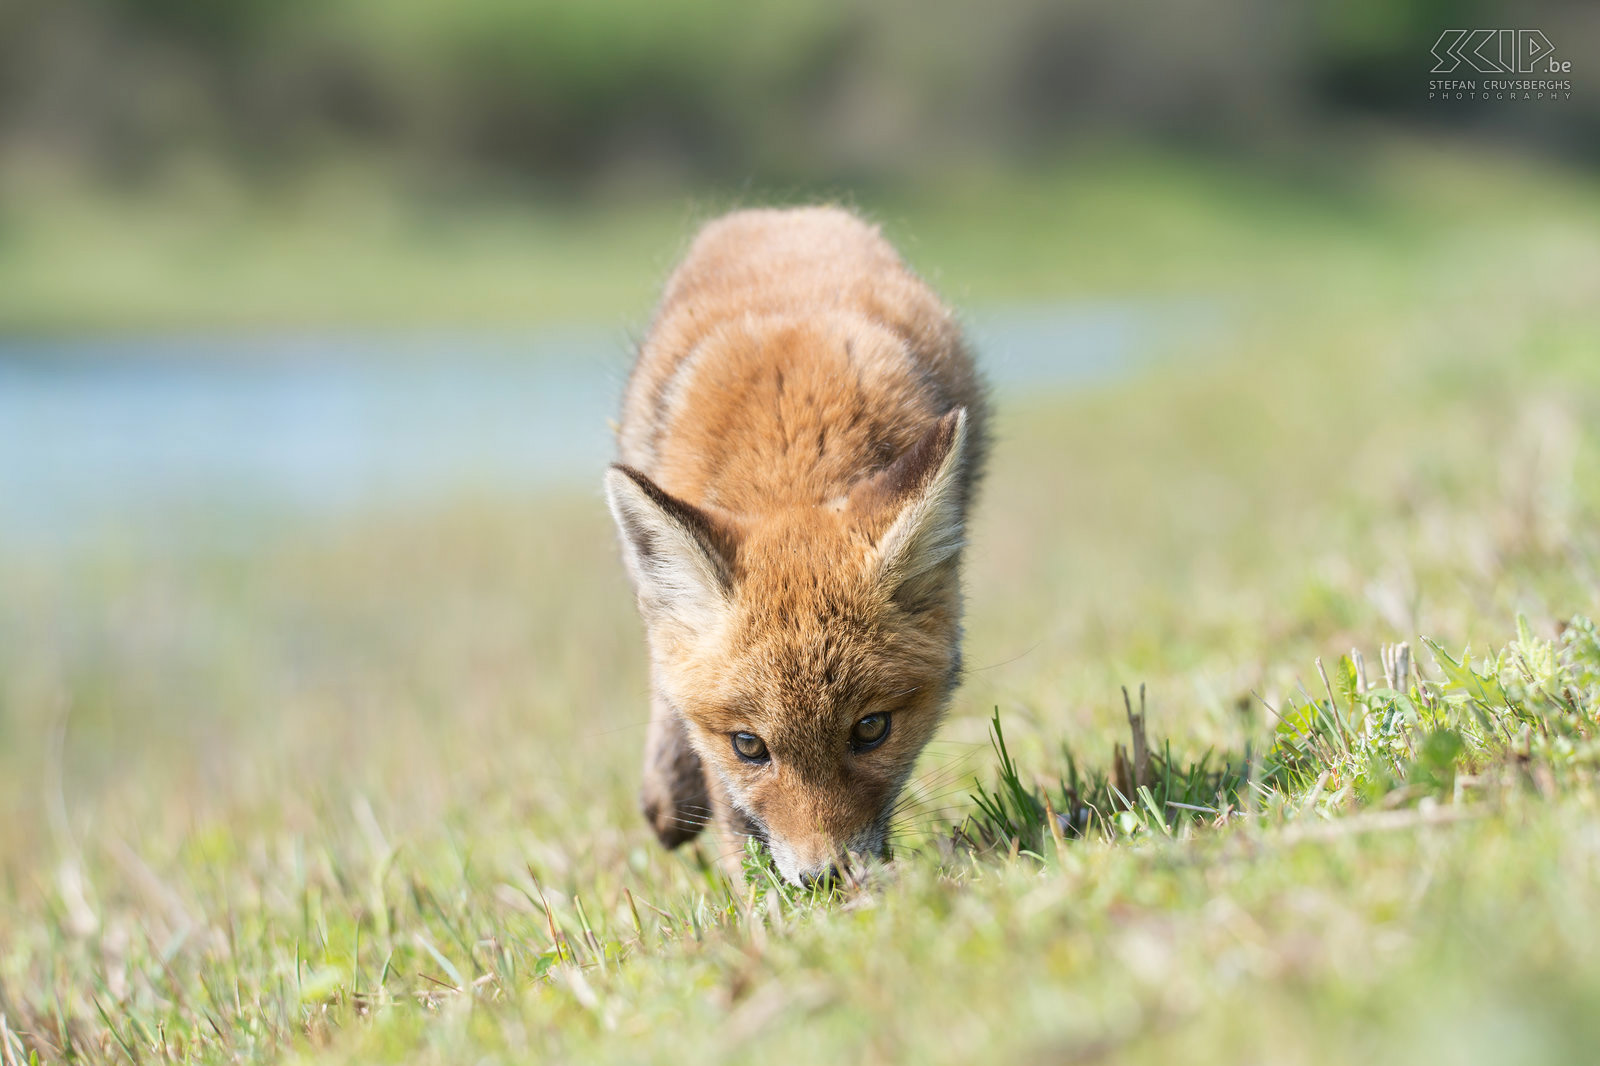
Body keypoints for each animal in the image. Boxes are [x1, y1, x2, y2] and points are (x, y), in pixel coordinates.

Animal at [604, 203, 985, 883]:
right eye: (749, 746)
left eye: (871, 729)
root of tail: (783, 211)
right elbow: (729, 806)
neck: (793, 448)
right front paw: (755, 900)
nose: (826, 878)